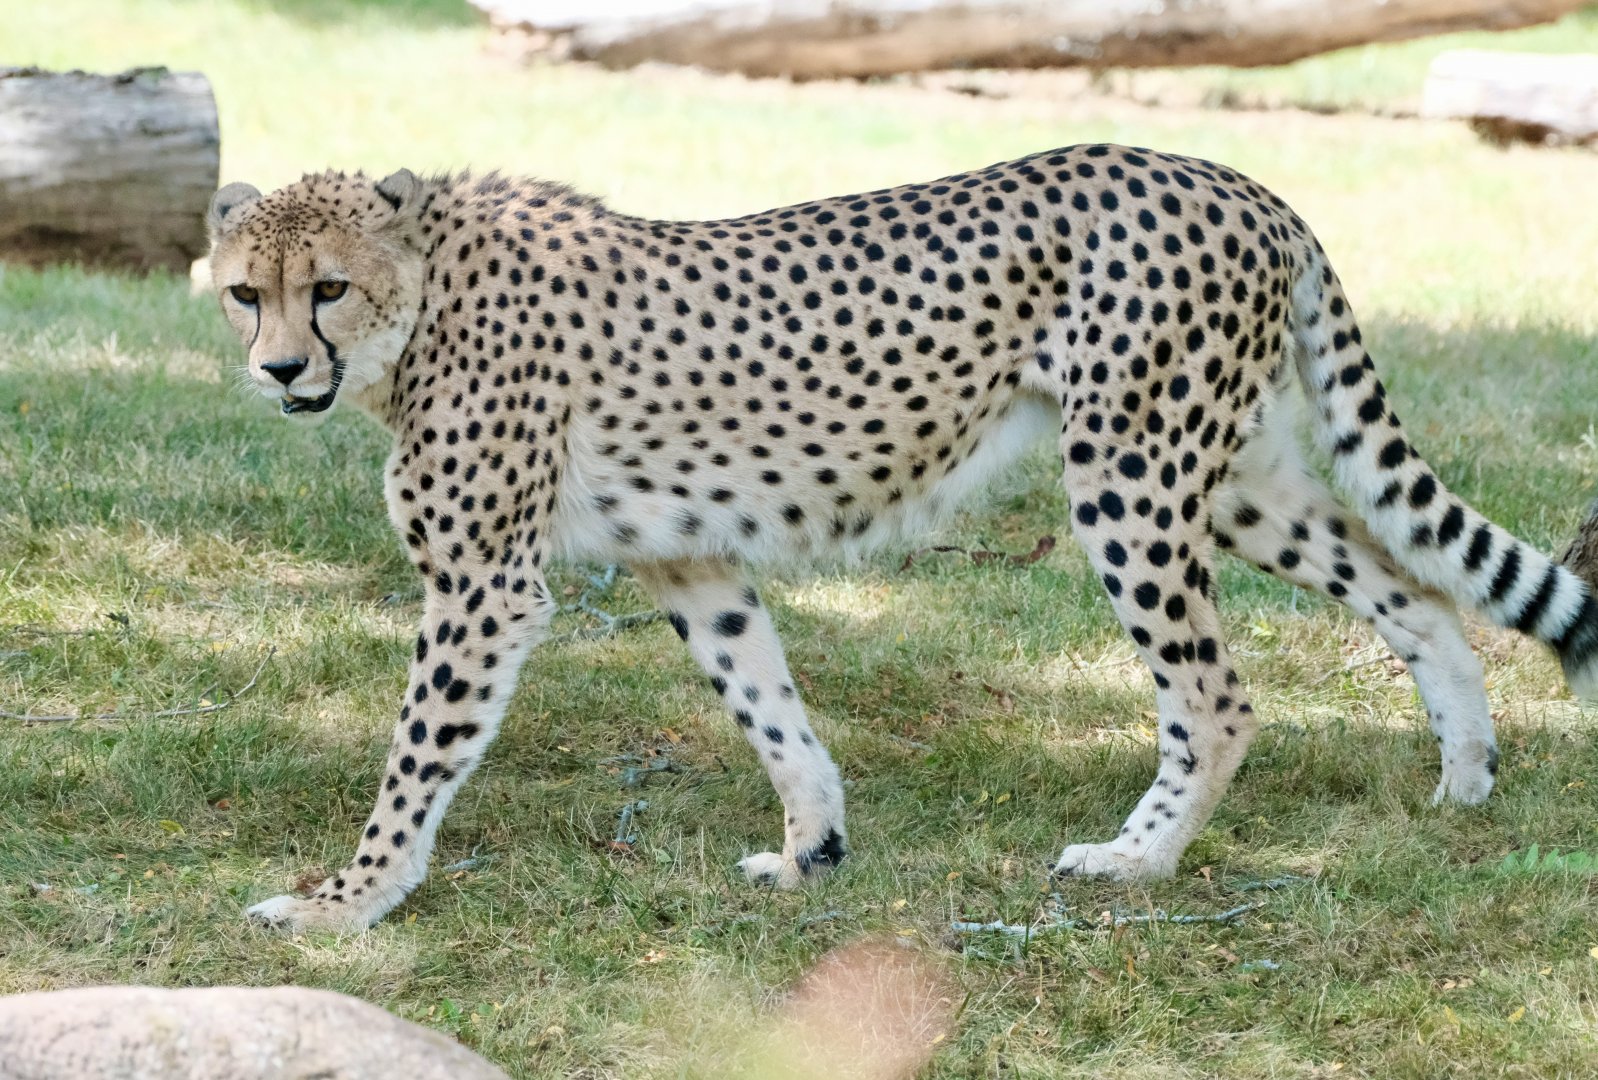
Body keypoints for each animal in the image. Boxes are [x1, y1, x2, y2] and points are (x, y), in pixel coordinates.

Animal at [206, 144, 1598, 932]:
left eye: (328, 286)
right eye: (242, 292)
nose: (278, 371)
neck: (423, 299)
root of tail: (1236, 181)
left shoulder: (483, 585)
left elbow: (413, 761)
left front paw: (348, 901)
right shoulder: (687, 554)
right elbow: (766, 703)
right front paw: (811, 848)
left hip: (1127, 476)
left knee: (1215, 691)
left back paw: (1135, 862)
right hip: (1236, 476)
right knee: (1419, 594)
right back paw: (1463, 776)